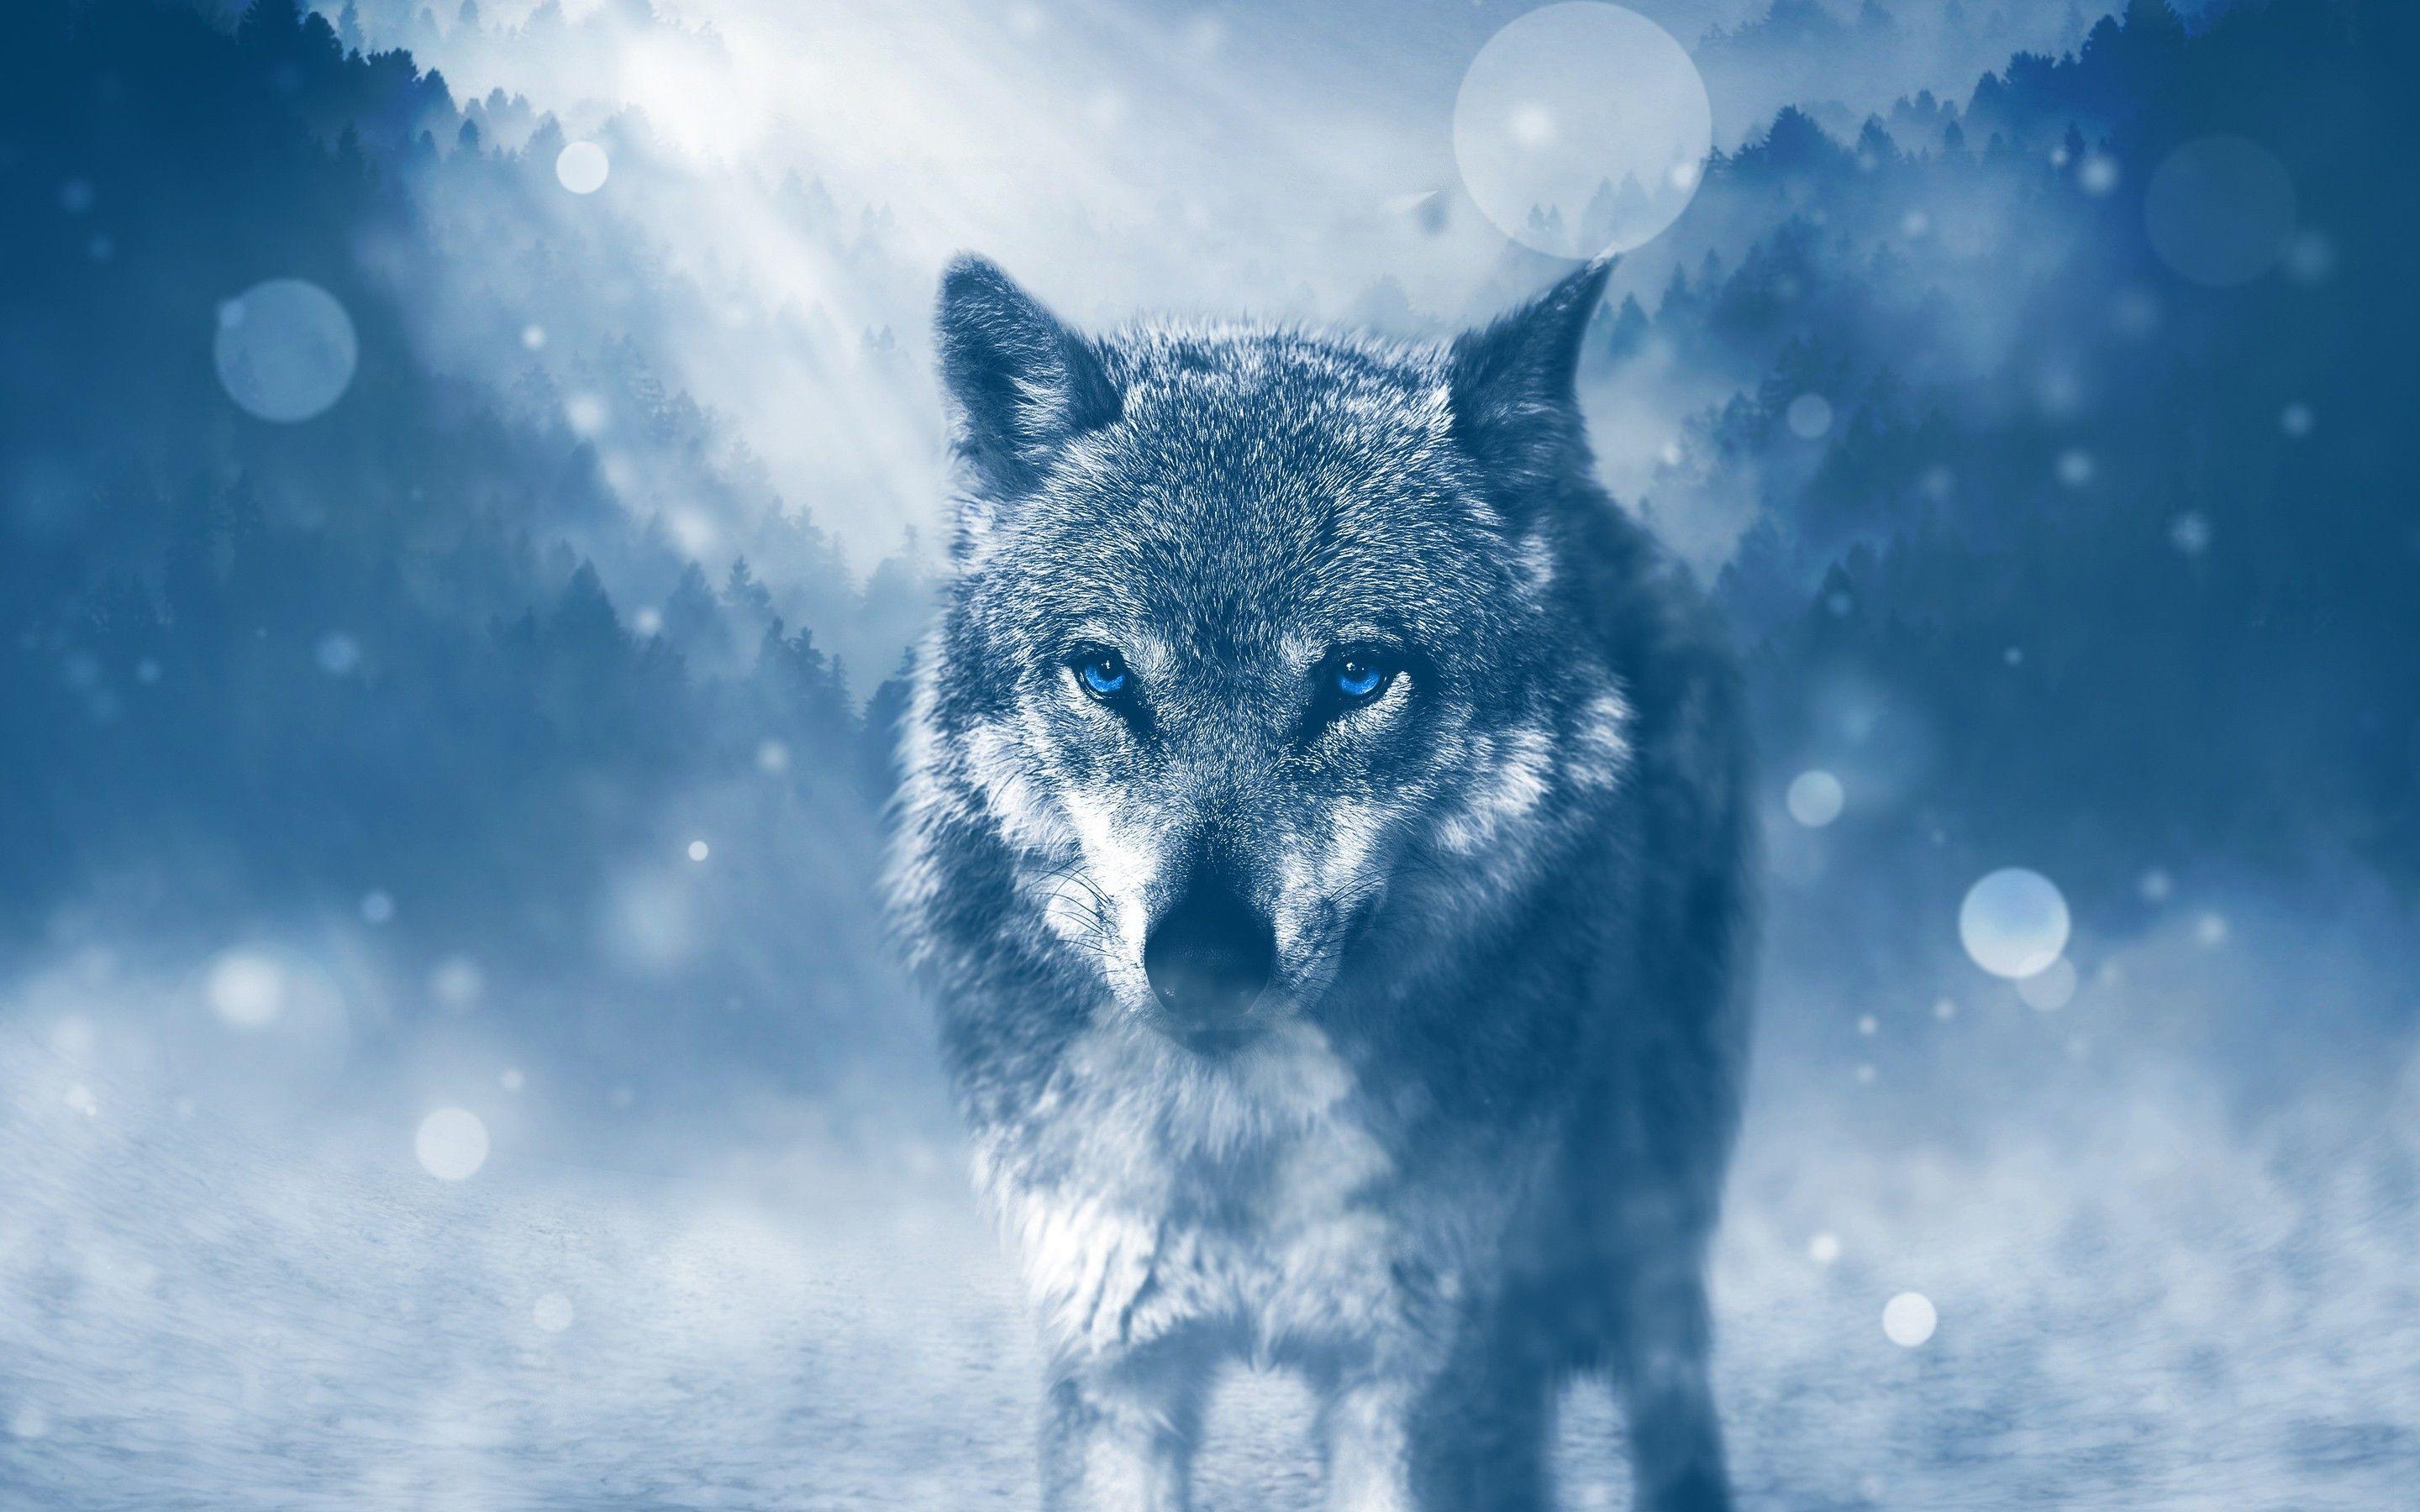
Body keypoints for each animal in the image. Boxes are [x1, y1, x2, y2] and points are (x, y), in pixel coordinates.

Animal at [886, 254, 1754, 1511]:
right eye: (1105, 673)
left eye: (1356, 675)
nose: (1204, 962)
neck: (1238, 1141)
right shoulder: (1113, 1360)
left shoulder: (1426, 1376)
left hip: (1649, 1199)